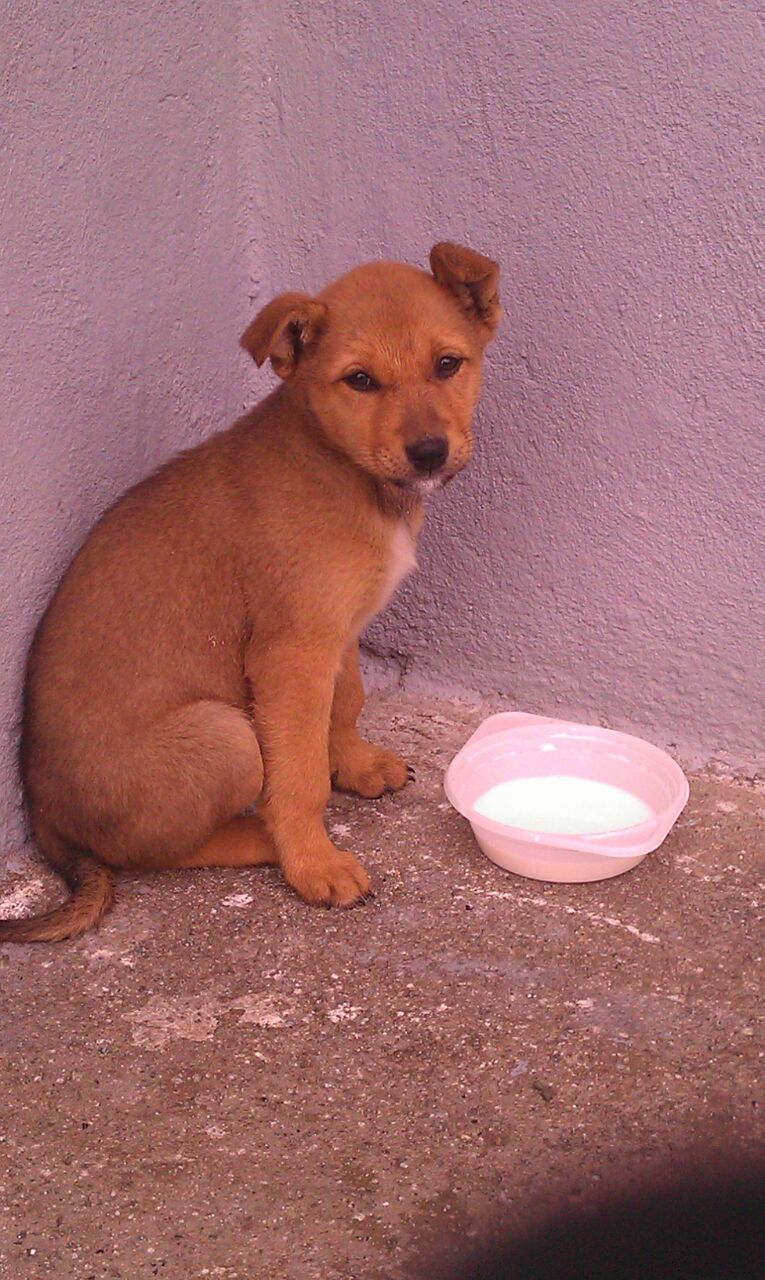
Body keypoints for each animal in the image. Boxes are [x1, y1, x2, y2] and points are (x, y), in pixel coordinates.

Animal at [0, 242, 500, 942]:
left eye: (448, 364)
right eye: (360, 381)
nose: (429, 452)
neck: (344, 469)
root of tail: (45, 819)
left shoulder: (333, 632)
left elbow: (344, 703)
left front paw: (355, 766)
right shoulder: (290, 654)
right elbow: (299, 774)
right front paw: (312, 860)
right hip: (225, 737)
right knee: (144, 853)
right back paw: (260, 837)